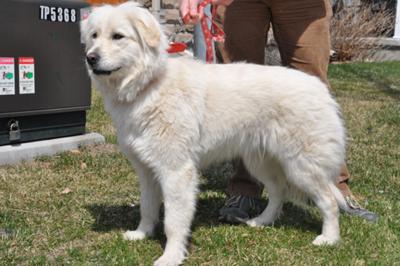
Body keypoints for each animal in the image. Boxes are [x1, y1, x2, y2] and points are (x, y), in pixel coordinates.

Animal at [81, 2, 350, 266]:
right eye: (94, 36)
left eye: (118, 36)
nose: (90, 58)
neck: (148, 86)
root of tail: (319, 88)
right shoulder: (146, 170)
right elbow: (147, 208)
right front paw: (141, 234)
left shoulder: (176, 172)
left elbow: (173, 222)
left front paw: (171, 256)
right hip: (260, 163)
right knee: (278, 192)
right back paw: (261, 221)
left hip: (302, 167)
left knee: (329, 201)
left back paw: (329, 238)